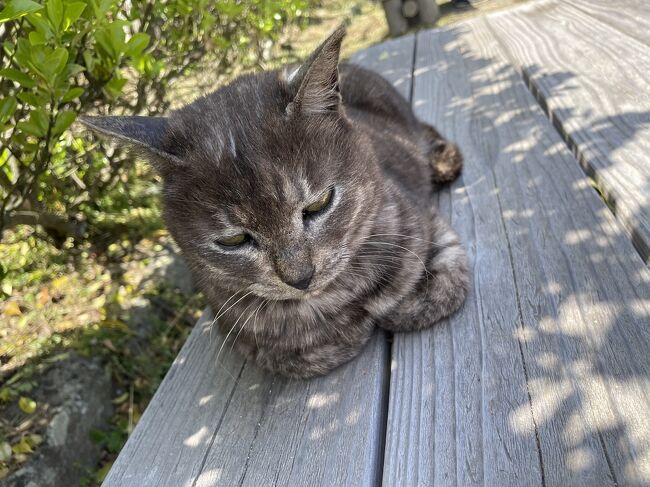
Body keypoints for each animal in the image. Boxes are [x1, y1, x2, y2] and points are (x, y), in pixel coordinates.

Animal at [82, 24, 466, 380]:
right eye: (233, 240)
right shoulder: (234, 323)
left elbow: (442, 287)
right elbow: (293, 354)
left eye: (319, 204)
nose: (301, 278)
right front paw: (345, 330)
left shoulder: (421, 220)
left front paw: (393, 305)